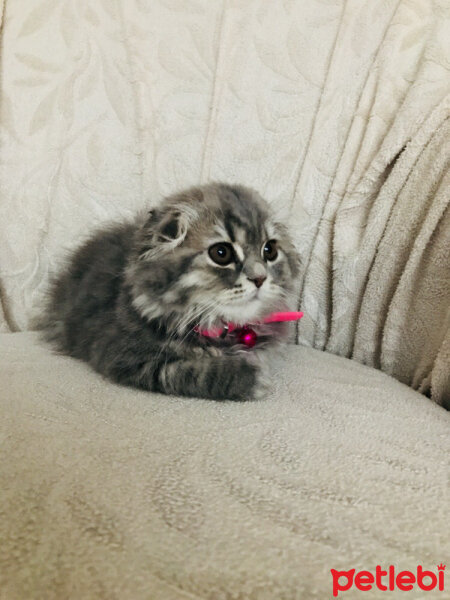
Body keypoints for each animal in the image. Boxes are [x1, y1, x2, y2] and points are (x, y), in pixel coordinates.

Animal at [42, 182, 298, 398]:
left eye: (270, 250)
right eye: (221, 253)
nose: (260, 278)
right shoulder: (122, 356)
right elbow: (189, 373)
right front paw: (250, 378)